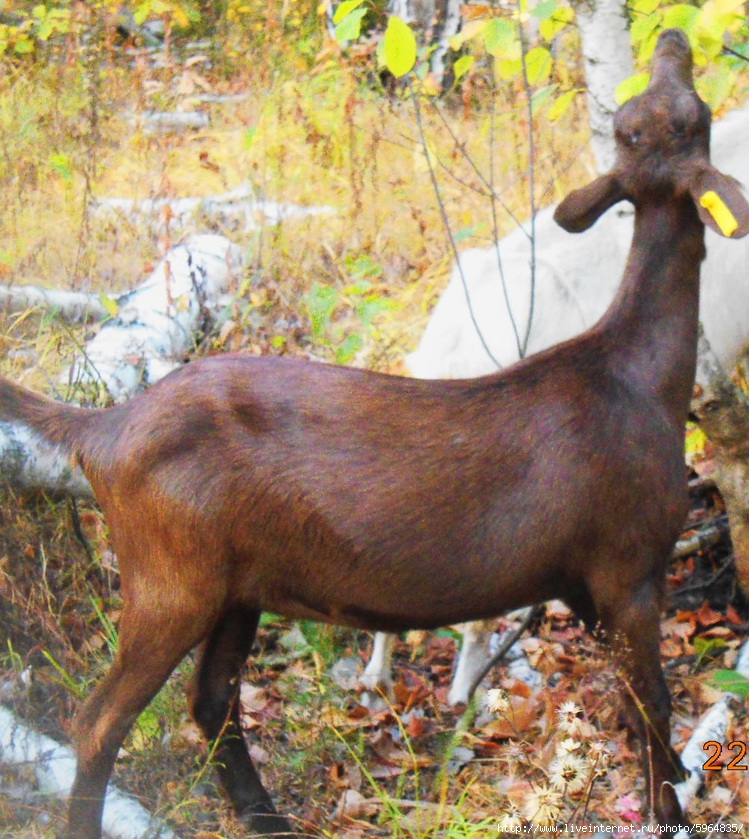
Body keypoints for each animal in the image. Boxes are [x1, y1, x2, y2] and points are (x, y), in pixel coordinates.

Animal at [1, 29, 748, 836]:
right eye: (687, 116)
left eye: (649, 118)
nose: (672, 37)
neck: (642, 379)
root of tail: (101, 431)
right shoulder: (629, 561)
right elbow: (654, 709)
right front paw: (668, 812)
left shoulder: (586, 584)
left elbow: (632, 715)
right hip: (170, 576)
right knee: (98, 721)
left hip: (236, 585)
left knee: (211, 700)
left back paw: (268, 818)